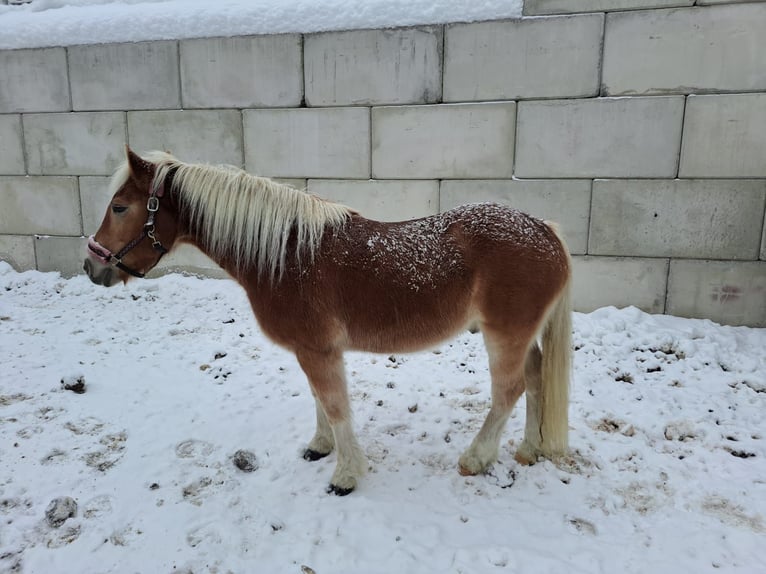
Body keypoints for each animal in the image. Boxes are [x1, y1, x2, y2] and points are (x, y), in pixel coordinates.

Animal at [85, 146, 576, 498]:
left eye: (120, 207)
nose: (93, 267)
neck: (286, 254)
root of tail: (546, 230)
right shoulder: (313, 350)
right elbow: (319, 399)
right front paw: (320, 447)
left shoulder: (318, 349)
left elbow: (336, 405)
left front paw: (346, 475)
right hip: (520, 337)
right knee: (535, 378)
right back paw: (528, 450)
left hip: (503, 336)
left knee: (509, 390)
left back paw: (477, 458)